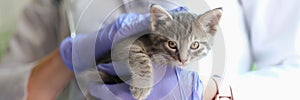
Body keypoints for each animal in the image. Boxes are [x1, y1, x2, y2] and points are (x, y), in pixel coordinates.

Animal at [94, 4, 223, 99]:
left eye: (195, 45)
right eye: (172, 44)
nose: (183, 60)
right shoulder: (122, 44)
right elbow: (138, 55)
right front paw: (142, 85)